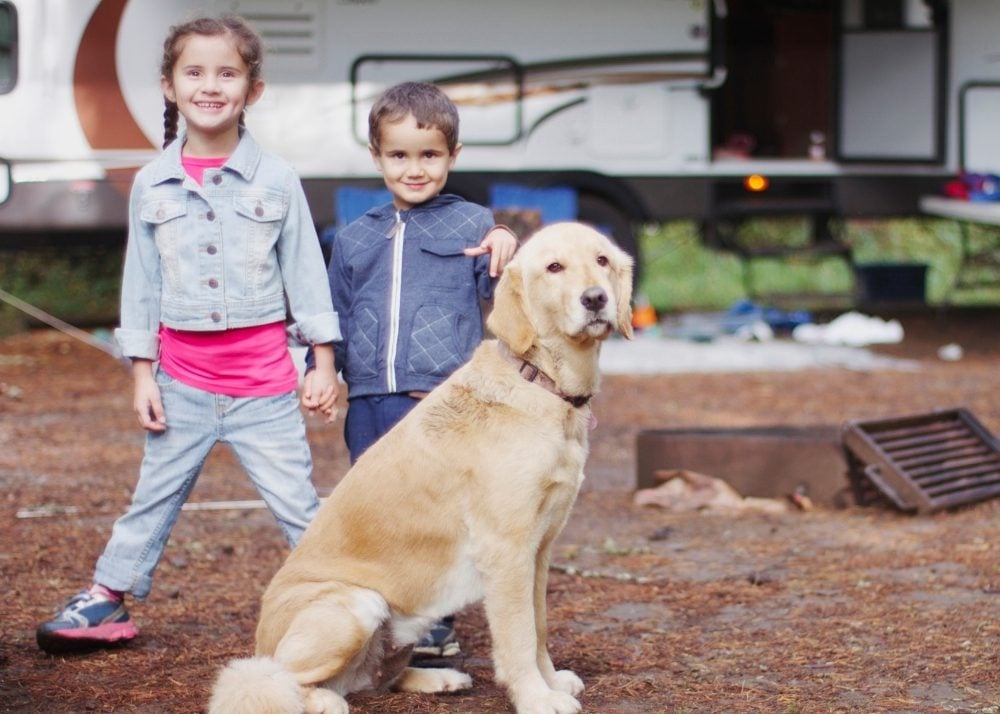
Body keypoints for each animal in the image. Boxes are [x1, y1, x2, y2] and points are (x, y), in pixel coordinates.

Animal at [208, 220, 636, 708]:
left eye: (602, 260)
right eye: (554, 267)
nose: (595, 298)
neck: (539, 380)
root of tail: (261, 641)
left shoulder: (540, 551)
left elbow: (540, 626)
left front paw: (550, 681)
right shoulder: (506, 551)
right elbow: (520, 637)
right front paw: (536, 698)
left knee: (376, 679)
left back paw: (438, 678)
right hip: (355, 606)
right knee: (276, 680)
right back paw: (324, 701)